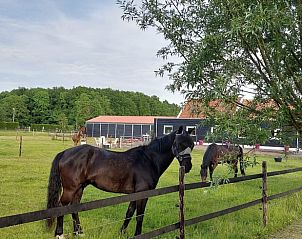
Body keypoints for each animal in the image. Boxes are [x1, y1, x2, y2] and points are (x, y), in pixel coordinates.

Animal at [46, 126, 195, 238]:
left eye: (192, 145)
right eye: (179, 144)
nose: (188, 166)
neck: (148, 160)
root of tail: (65, 153)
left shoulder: (135, 194)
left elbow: (129, 213)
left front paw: (122, 232)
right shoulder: (142, 194)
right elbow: (139, 216)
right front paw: (137, 235)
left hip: (80, 188)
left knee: (74, 207)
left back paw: (79, 232)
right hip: (70, 188)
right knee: (61, 206)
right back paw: (59, 234)